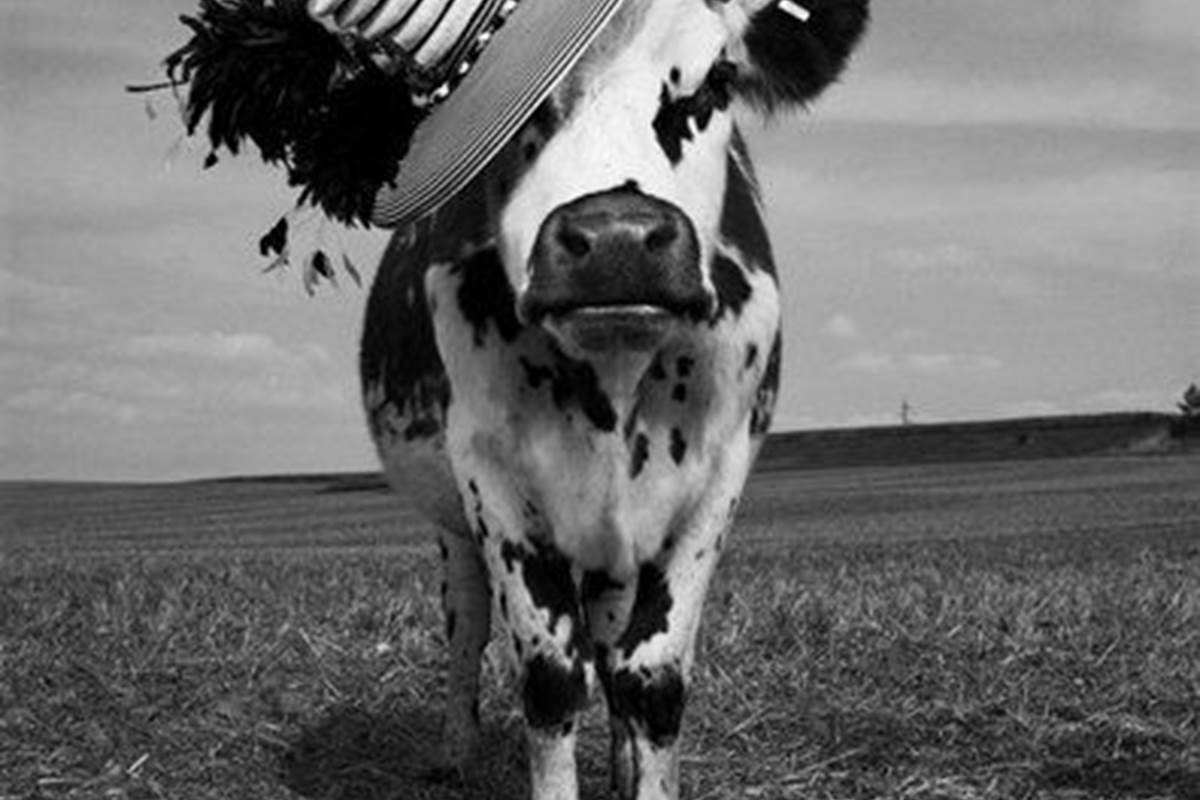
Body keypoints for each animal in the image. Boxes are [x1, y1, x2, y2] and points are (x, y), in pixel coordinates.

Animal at [359, 1, 869, 797]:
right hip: (454, 526)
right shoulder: (490, 476)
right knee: (467, 622)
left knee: (608, 644)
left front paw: (639, 768)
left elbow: (649, 676)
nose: (616, 240)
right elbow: (549, 677)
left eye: (717, 78)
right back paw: (455, 750)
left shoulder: (718, 475)